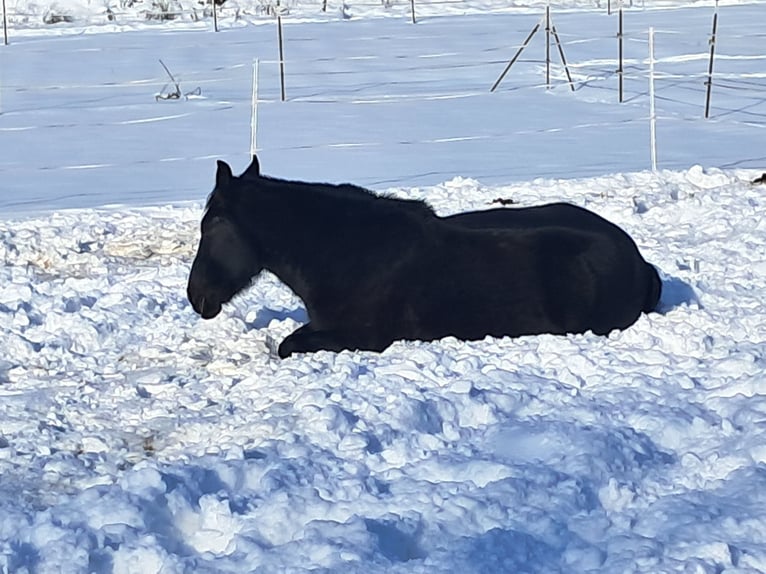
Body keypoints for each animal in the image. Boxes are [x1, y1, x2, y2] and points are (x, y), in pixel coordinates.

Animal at [187, 156, 662, 358]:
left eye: (212, 225)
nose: (197, 297)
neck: (346, 251)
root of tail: (638, 261)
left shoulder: (360, 338)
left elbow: (287, 345)